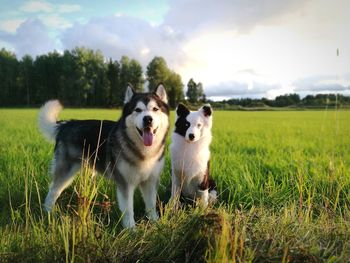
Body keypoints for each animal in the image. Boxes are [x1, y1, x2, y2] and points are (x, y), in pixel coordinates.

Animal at [38, 83, 170, 228]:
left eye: (155, 109)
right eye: (138, 110)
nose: (148, 119)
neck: (144, 152)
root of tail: (66, 124)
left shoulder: (151, 181)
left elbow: (151, 205)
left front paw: (156, 223)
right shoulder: (125, 183)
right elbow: (129, 210)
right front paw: (131, 229)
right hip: (66, 171)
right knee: (53, 191)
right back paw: (48, 213)